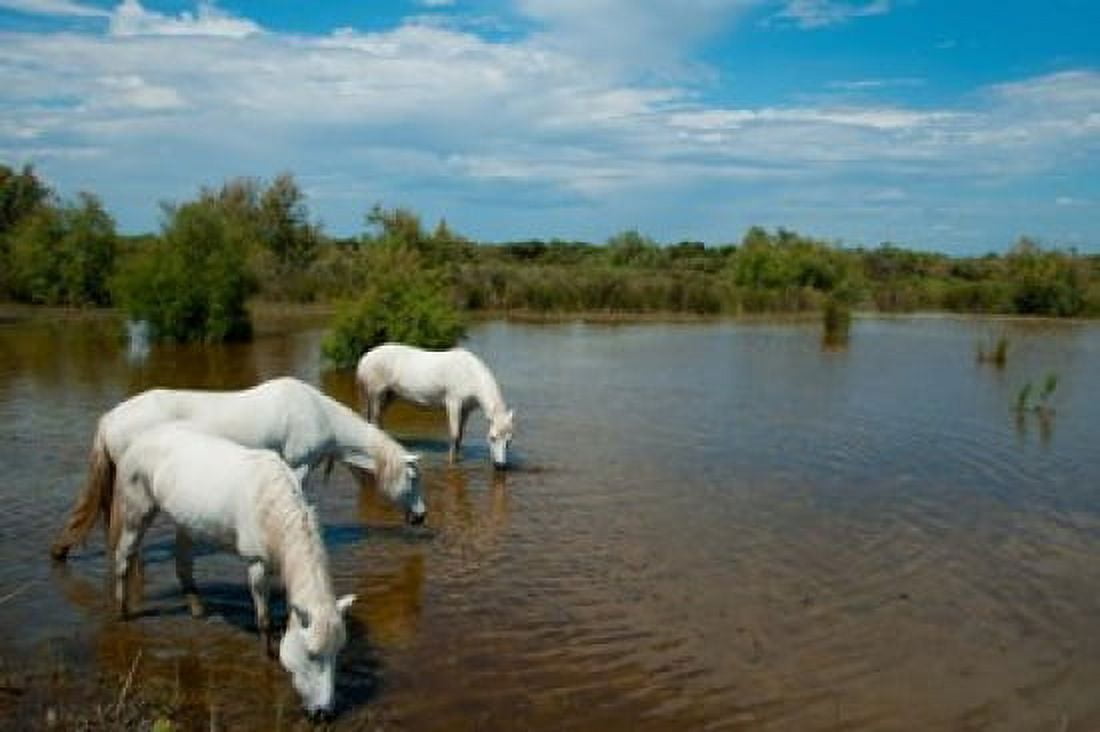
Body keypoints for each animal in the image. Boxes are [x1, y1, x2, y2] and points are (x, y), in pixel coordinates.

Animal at [110, 422, 354, 719]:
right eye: (311, 654)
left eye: (337, 653)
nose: (323, 713)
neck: (272, 507)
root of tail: (142, 438)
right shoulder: (256, 564)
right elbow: (264, 618)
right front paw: (267, 655)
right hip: (137, 511)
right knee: (124, 557)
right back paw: (123, 612)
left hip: (184, 520)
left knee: (183, 564)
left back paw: (197, 610)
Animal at [356, 343, 515, 468]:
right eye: (492, 438)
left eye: (509, 441)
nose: (500, 466)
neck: (470, 374)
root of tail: (365, 359)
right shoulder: (453, 403)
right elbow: (454, 434)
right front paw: (451, 462)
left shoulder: (466, 409)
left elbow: (460, 435)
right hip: (376, 393)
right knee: (374, 420)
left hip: (389, 395)